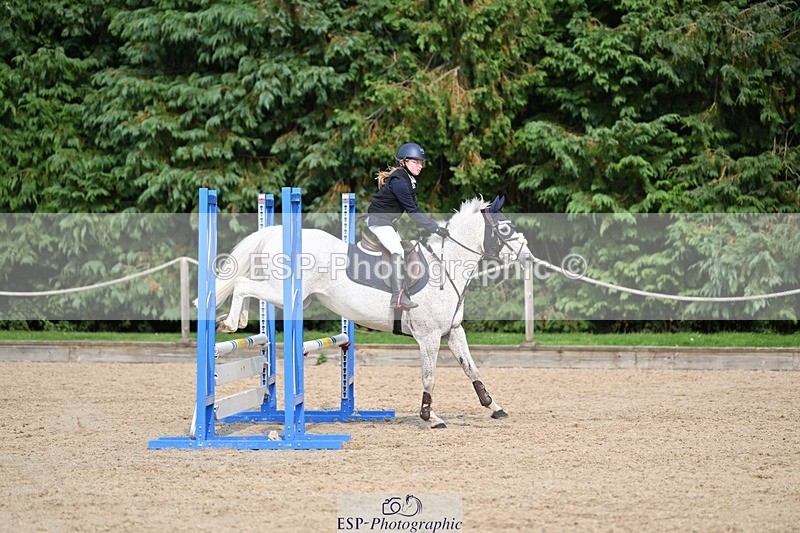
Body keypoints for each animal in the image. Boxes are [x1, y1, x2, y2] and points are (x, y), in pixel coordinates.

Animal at [213, 195, 533, 428]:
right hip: (284, 293)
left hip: (295, 297)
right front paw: (430, 417)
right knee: (242, 284)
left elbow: (471, 369)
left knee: (247, 287)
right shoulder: (429, 337)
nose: (528, 257)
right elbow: (429, 377)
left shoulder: (453, 332)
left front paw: (494, 407)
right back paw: (230, 323)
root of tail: (275, 236)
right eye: (505, 229)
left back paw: (236, 320)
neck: (445, 266)